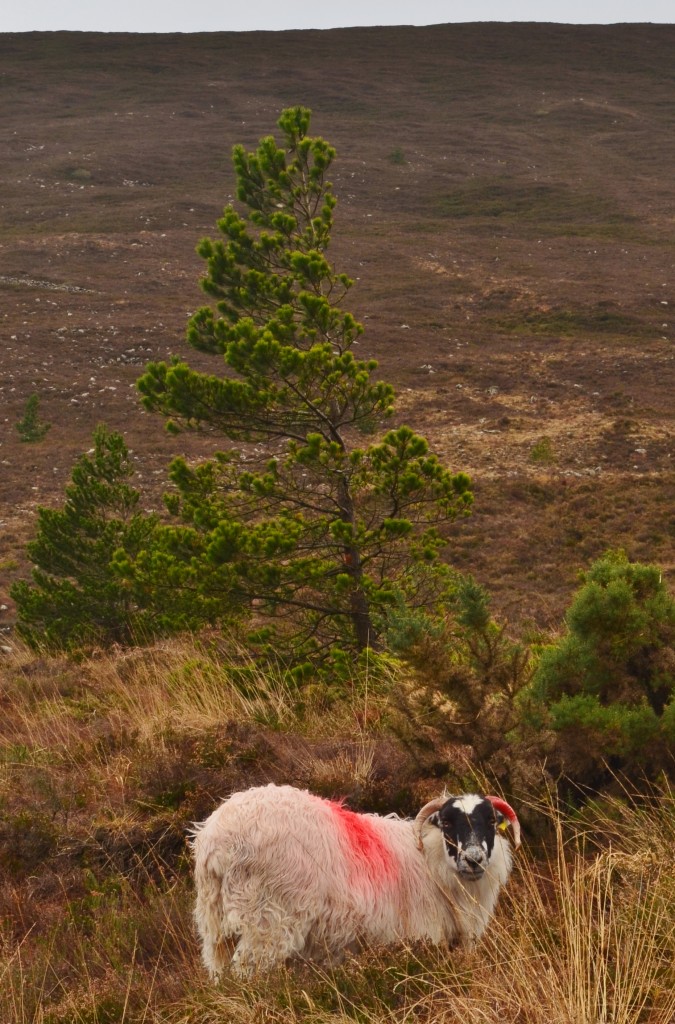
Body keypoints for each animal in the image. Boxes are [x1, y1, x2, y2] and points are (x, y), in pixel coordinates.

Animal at [191, 782, 522, 974]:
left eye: (490, 821)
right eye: (448, 824)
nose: (473, 859)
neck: (431, 863)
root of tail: (215, 838)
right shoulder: (424, 938)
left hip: (214, 924)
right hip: (268, 921)